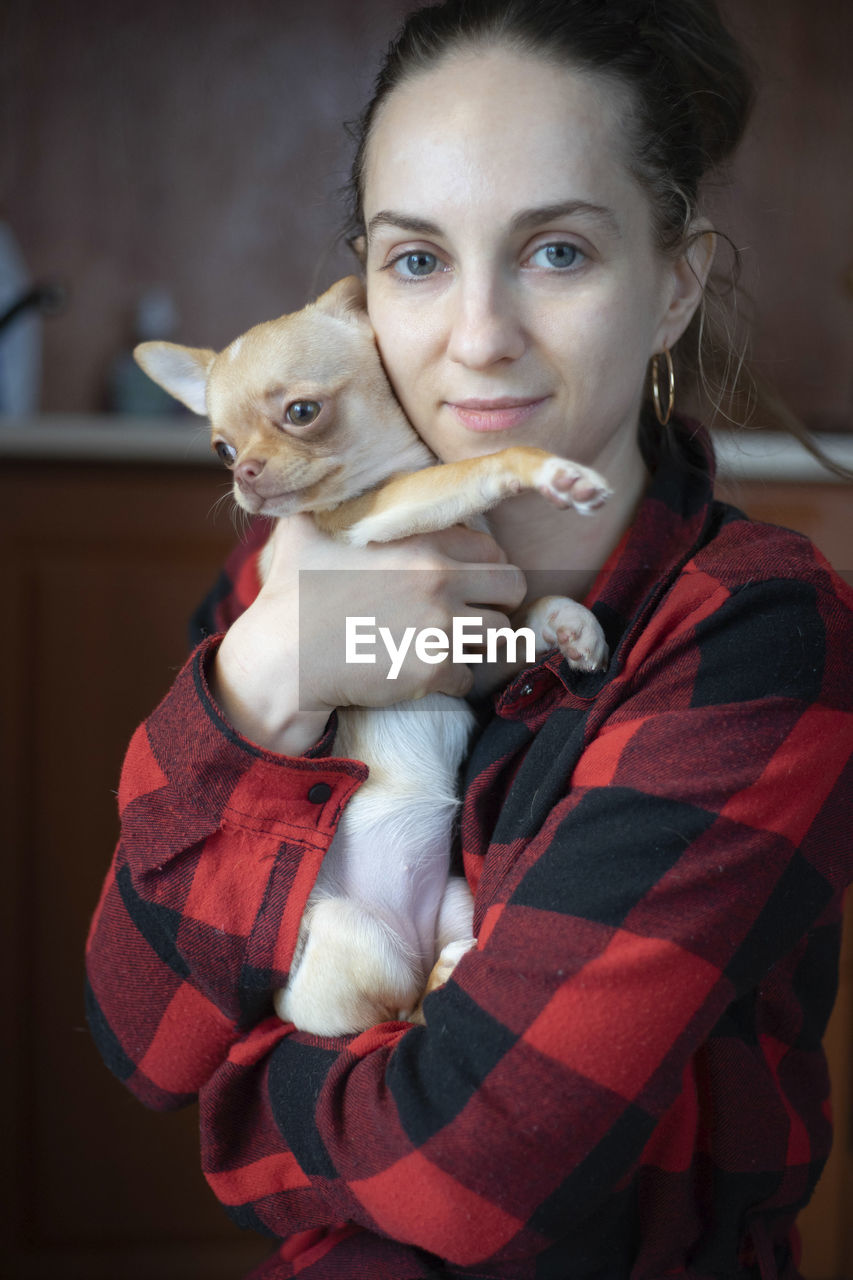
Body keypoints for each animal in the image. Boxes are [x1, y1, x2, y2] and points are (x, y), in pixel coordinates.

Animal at [136, 275, 607, 1034]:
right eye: (219, 449)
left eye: (302, 413)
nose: (244, 474)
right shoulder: (366, 520)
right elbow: (474, 467)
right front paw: (540, 470)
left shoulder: (464, 652)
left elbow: (523, 620)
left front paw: (569, 622)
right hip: (354, 941)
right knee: (399, 1011)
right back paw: (437, 976)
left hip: (455, 899)